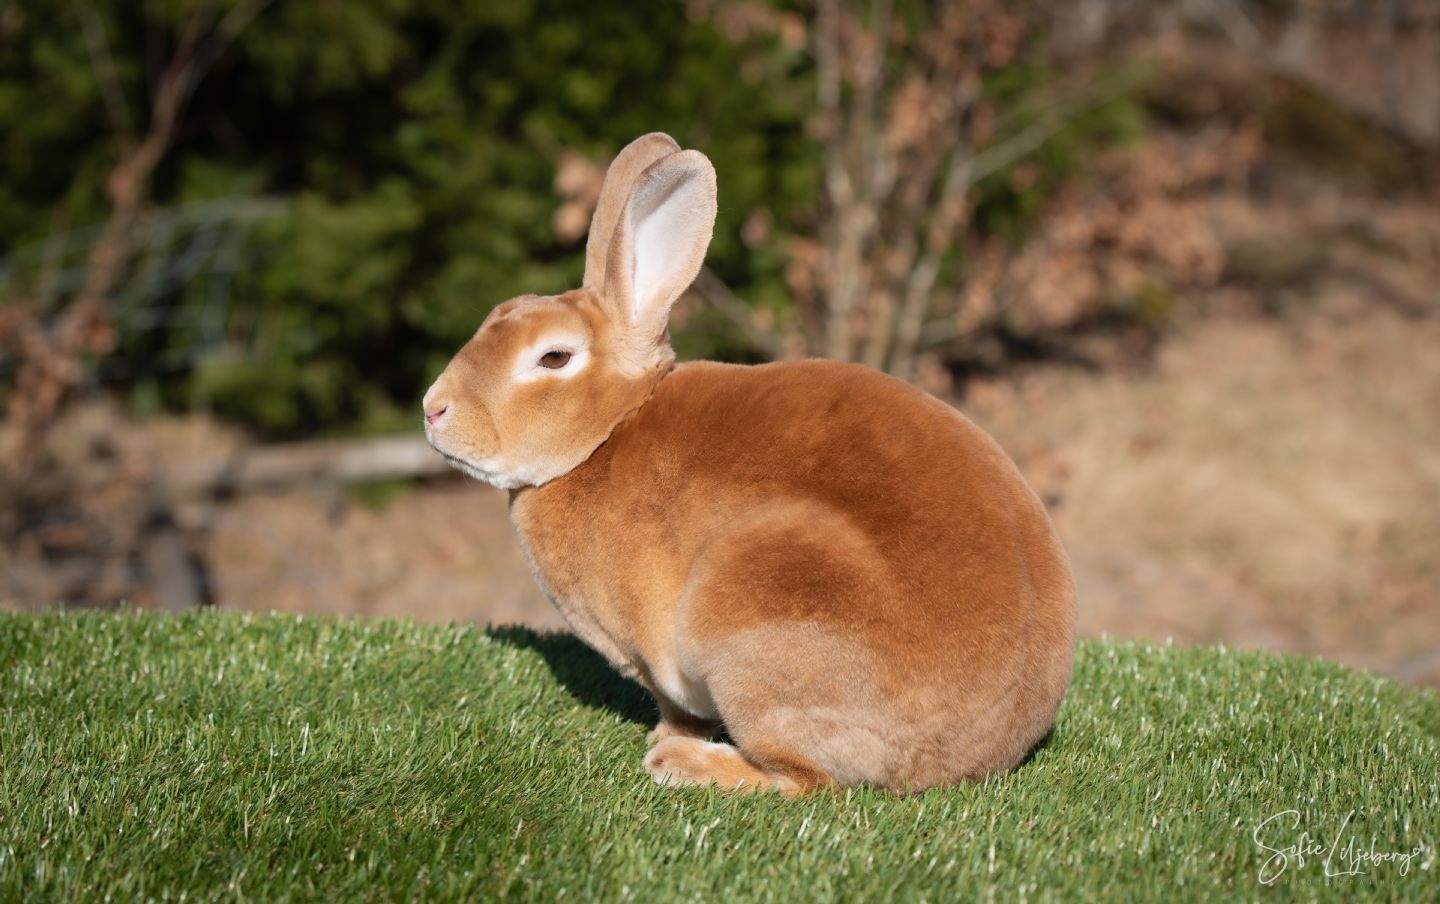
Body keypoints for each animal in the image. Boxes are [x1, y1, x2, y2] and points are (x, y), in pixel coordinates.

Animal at [422, 133, 1075, 796]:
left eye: (553, 358)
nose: (432, 409)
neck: (609, 432)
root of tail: (979, 753)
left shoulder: (660, 659)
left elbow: (676, 706)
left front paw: (663, 739)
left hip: (759, 611)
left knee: (803, 783)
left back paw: (680, 764)